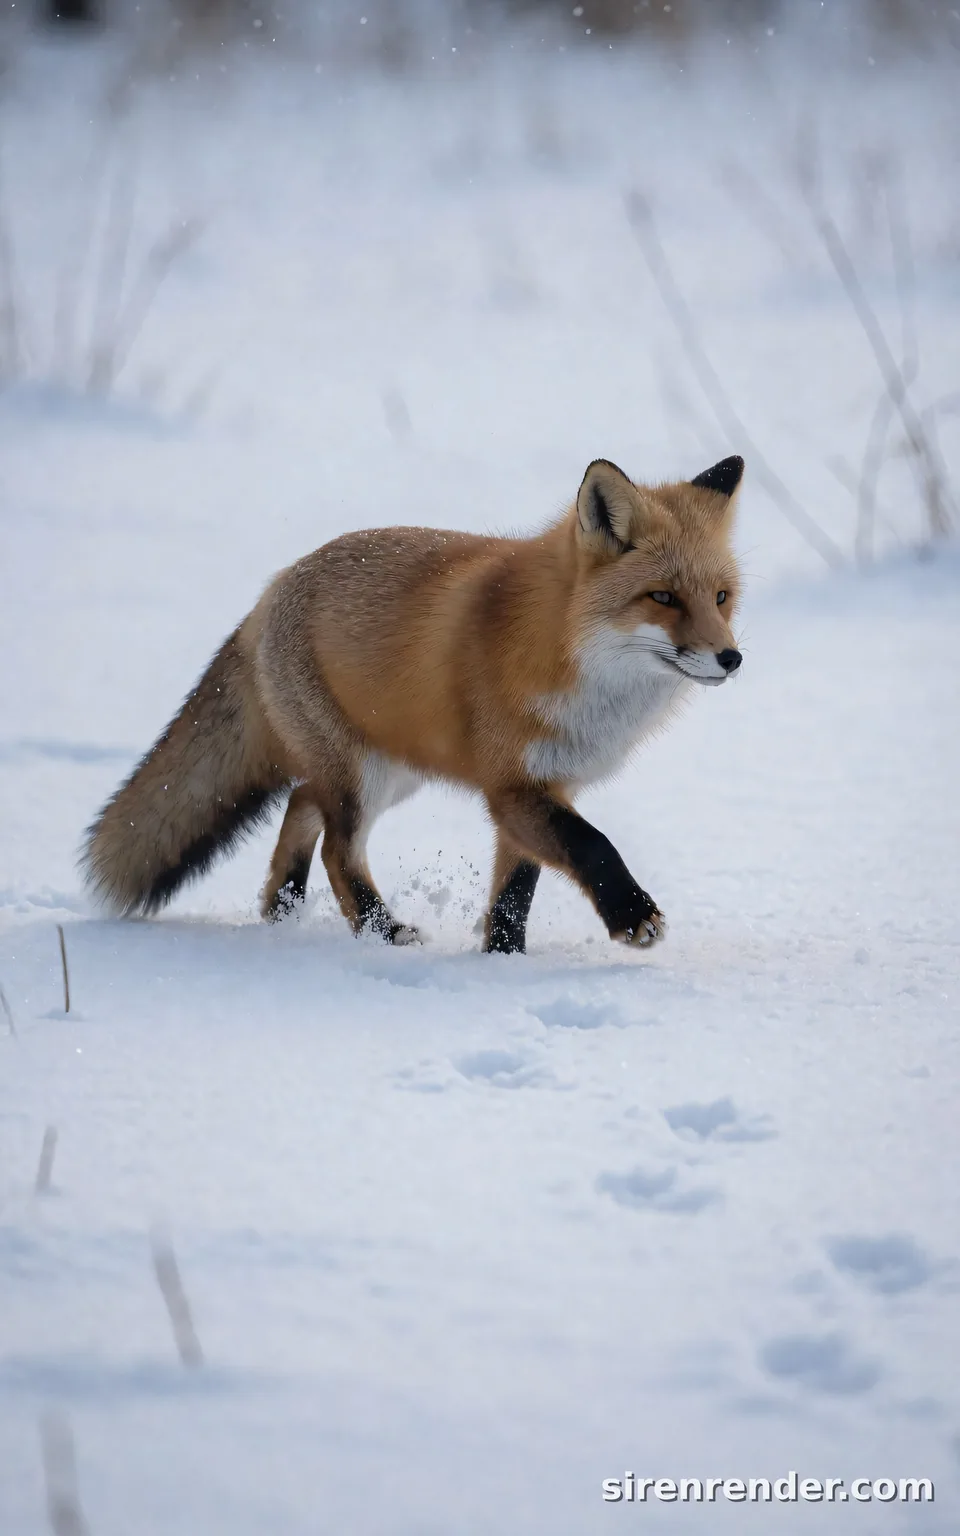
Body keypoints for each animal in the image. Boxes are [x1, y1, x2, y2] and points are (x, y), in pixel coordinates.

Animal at [82, 454, 744, 955]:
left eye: (721, 598)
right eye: (663, 597)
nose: (731, 658)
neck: (566, 655)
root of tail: (269, 594)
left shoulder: (545, 787)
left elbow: (515, 892)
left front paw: (503, 959)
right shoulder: (513, 787)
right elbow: (593, 845)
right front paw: (632, 915)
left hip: (392, 769)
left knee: (301, 801)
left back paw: (283, 909)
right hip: (365, 775)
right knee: (336, 847)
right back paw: (382, 930)